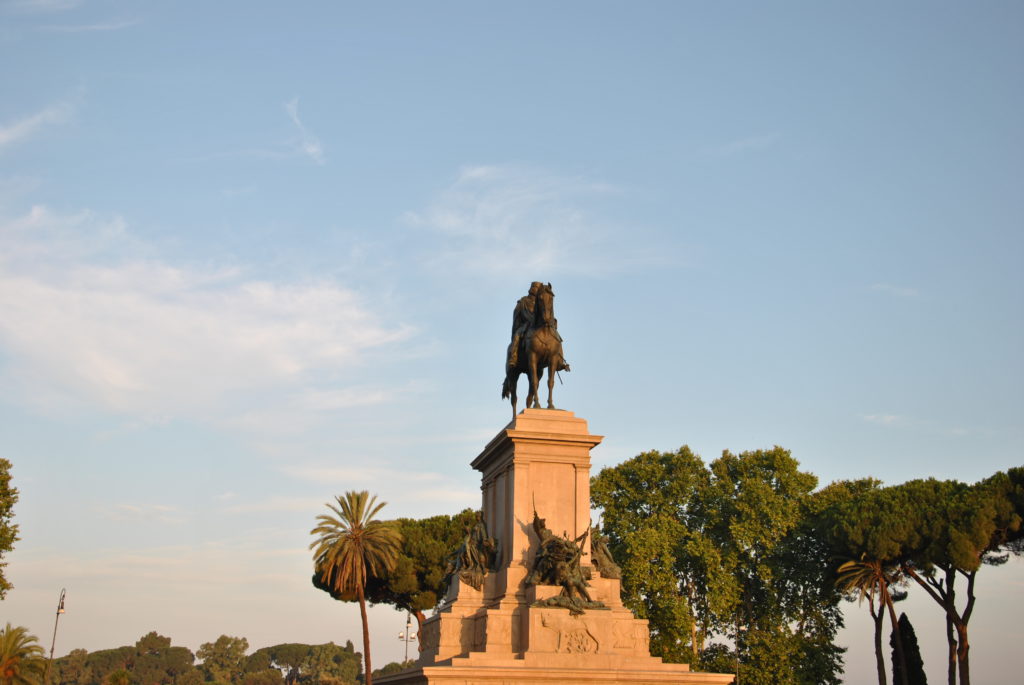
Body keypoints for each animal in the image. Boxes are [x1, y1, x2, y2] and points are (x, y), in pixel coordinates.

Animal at [497, 282, 565, 417]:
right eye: (540, 298)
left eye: (552, 298)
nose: (547, 318)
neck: (544, 330)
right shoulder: (532, 357)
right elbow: (534, 382)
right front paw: (538, 405)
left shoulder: (553, 359)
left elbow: (550, 382)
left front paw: (550, 406)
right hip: (513, 374)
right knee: (514, 398)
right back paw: (514, 417)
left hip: (537, 371)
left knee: (530, 394)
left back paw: (529, 409)